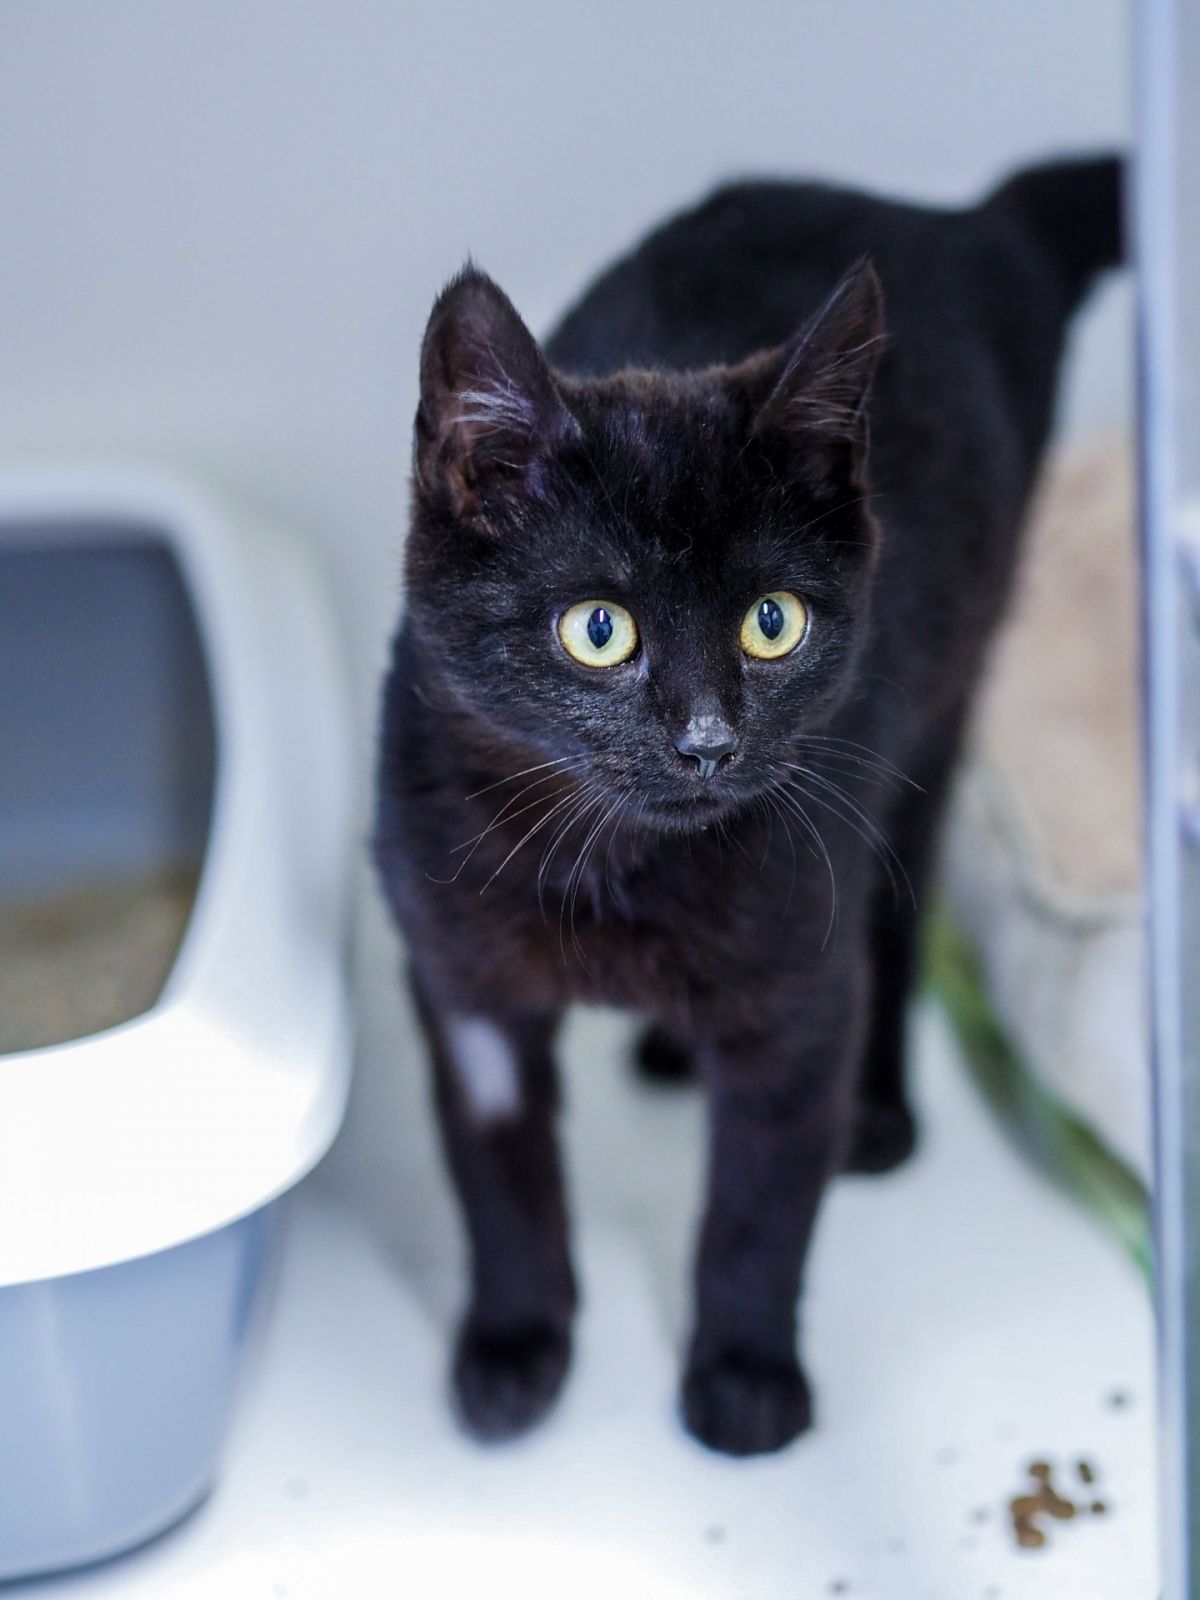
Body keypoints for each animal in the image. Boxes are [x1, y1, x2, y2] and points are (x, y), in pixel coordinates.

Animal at [373, 155, 1122, 1456]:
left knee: (895, 914)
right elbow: (501, 1183)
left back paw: (879, 1113)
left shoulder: (796, 1005)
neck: (613, 868)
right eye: (599, 629)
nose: (709, 741)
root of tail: (969, 221)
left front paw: (744, 1374)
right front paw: (516, 1347)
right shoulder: (462, 989)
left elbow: (757, 1209)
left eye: (773, 621)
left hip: (935, 712)